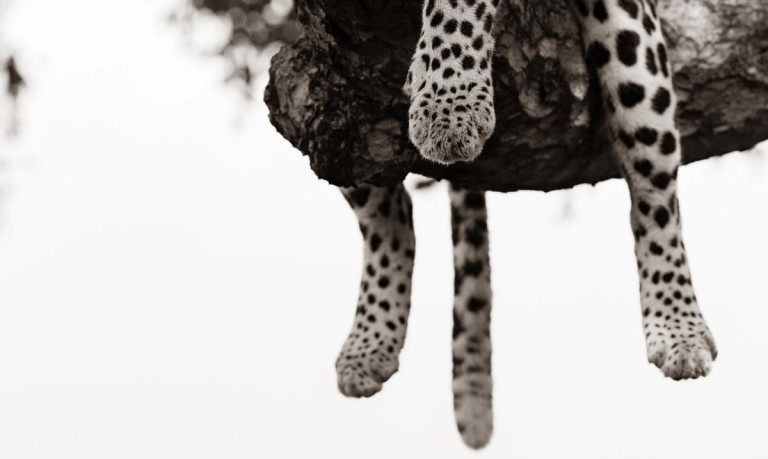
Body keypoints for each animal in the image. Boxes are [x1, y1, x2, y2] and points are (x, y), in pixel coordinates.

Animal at [334, 0, 717, 449]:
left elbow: (454, 12)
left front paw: (450, 104)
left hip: (635, 50)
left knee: (655, 196)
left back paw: (679, 329)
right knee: (385, 213)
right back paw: (368, 345)